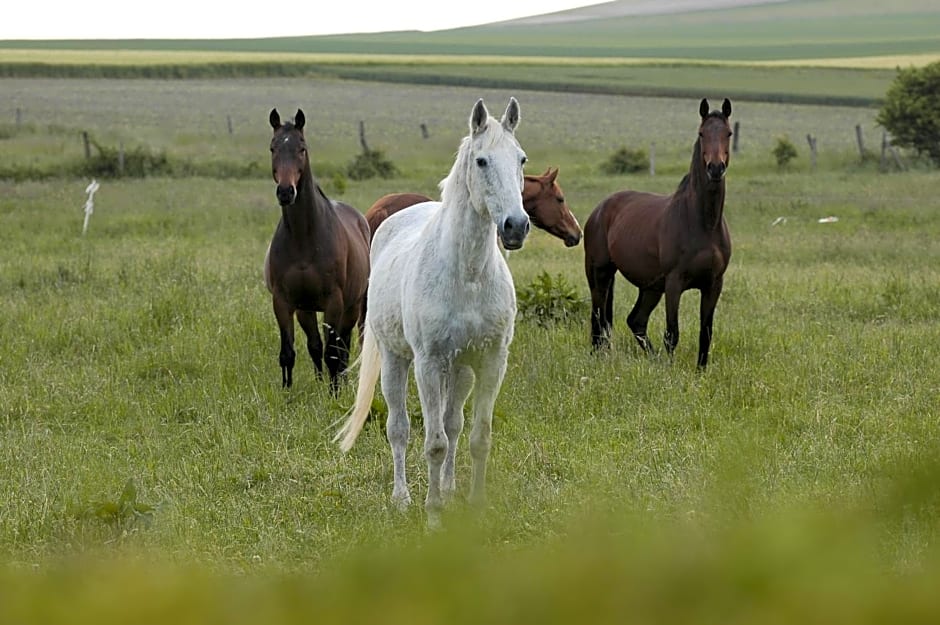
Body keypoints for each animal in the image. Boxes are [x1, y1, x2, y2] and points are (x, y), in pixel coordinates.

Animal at [264, 108, 370, 390]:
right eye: (273, 148)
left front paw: (334, 394)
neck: (304, 239)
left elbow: (333, 352)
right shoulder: (284, 302)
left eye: (302, 148)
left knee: (342, 348)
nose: (286, 192)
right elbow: (289, 352)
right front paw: (287, 393)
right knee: (315, 345)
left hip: (352, 307)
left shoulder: (334, 302)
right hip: (307, 309)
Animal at [336, 97, 528, 528]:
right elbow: (433, 443)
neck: (467, 275)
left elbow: (477, 436)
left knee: (454, 424)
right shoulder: (428, 363)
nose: (516, 226)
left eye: (522, 159)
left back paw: (450, 487)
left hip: (458, 370)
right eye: (481, 161)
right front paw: (434, 515)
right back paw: (403, 497)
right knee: (400, 429)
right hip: (397, 361)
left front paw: (473, 506)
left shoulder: (492, 361)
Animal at [584, 97, 732, 368]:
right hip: (600, 274)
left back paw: (652, 361)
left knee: (636, 321)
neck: (704, 224)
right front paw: (671, 371)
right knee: (598, 319)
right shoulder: (674, 283)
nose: (715, 168)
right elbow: (672, 333)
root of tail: (601, 208)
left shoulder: (713, 284)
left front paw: (700, 371)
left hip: (650, 287)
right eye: (702, 133)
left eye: (728, 133)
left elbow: (706, 332)